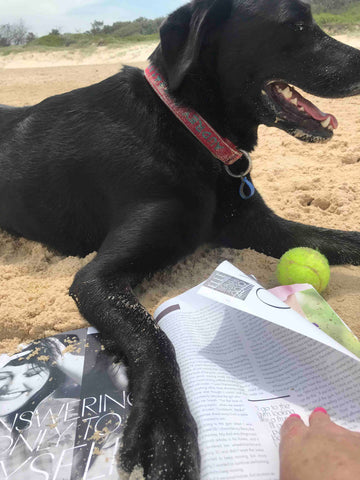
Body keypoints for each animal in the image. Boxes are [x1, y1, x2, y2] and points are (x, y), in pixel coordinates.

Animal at [0, 0, 360, 476]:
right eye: (297, 25)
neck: (188, 125)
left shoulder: (264, 227)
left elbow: (344, 239)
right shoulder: (96, 278)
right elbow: (153, 337)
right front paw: (167, 428)